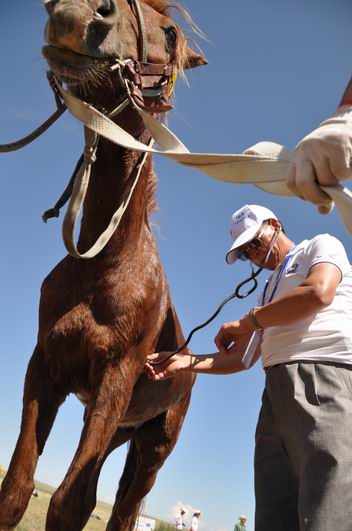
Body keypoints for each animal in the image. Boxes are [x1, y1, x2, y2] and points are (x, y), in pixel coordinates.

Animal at [0, 2, 206, 528]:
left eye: (170, 33)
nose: (77, 14)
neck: (107, 265)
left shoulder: (114, 381)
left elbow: (69, 503)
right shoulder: (45, 368)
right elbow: (17, 489)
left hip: (153, 446)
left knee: (125, 506)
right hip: (118, 431)